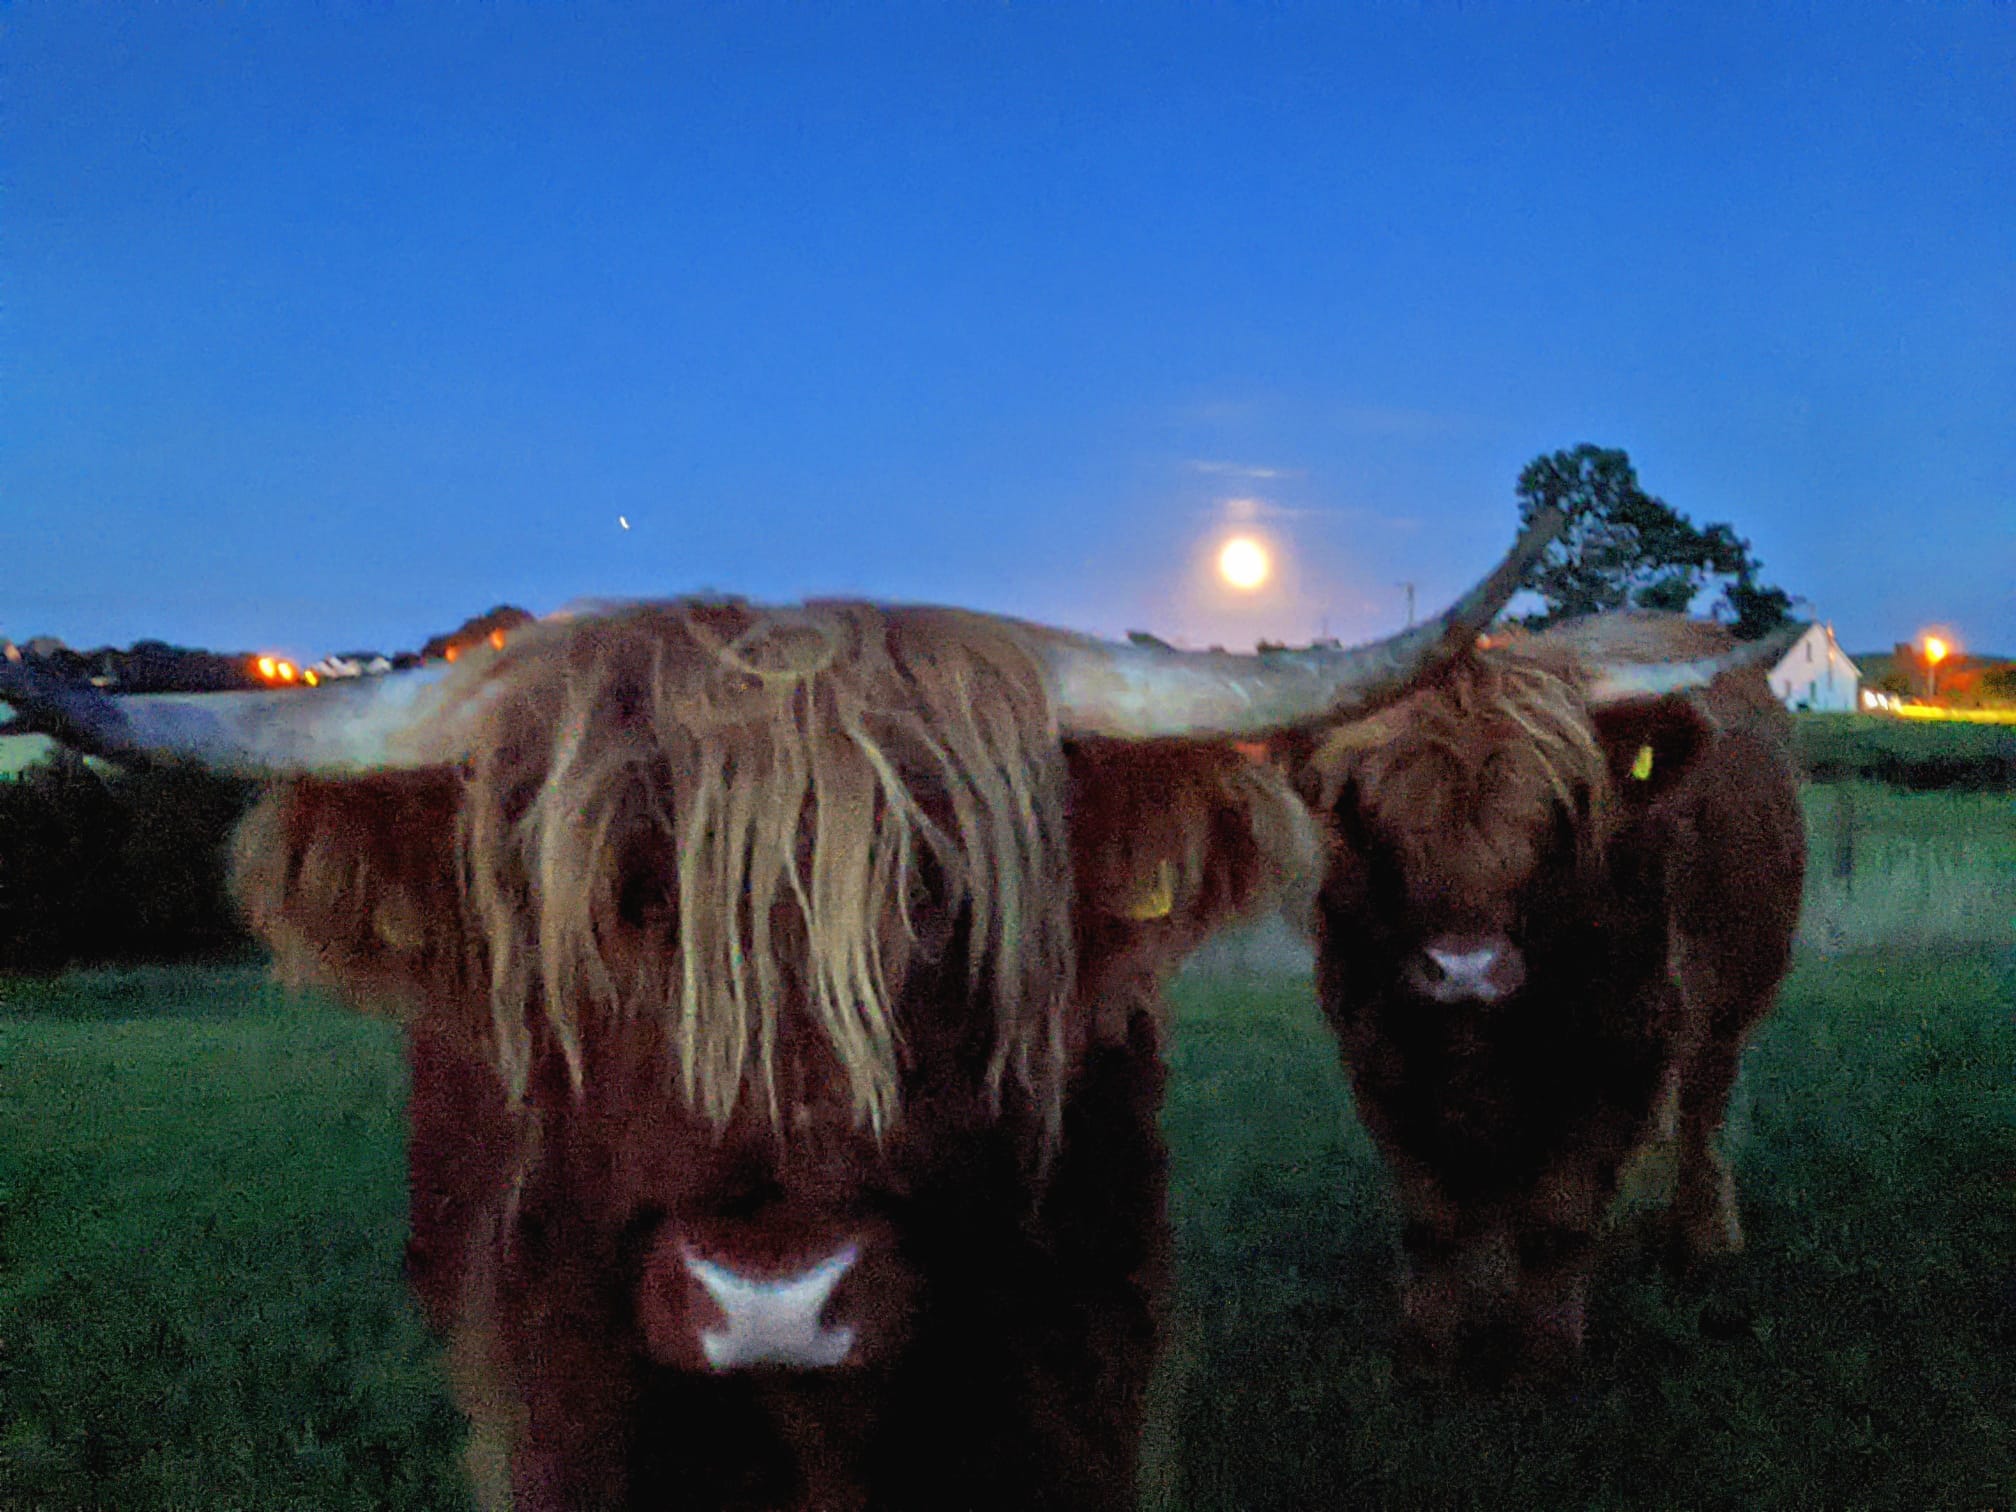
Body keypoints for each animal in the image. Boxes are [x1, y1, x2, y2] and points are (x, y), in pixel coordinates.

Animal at [1284, 610, 1806, 1384]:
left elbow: (1559, 1216)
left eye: (1554, 813)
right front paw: (1427, 1353)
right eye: (1376, 814)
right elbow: (1432, 1217)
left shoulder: (1623, 1052)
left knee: (1702, 1115)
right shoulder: (1376, 1049)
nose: (1464, 969)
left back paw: (1706, 1238)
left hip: (1732, 1007)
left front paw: (1545, 1358)